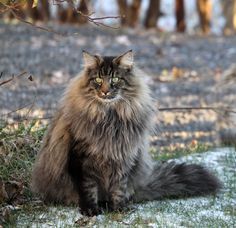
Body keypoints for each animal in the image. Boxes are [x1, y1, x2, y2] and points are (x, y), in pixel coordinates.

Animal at [31, 50, 221, 216]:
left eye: (115, 79)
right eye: (98, 79)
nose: (105, 91)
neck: (109, 118)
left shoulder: (123, 157)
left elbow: (118, 188)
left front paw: (118, 208)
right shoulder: (81, 159)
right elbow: (87, 189)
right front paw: (91, 211)